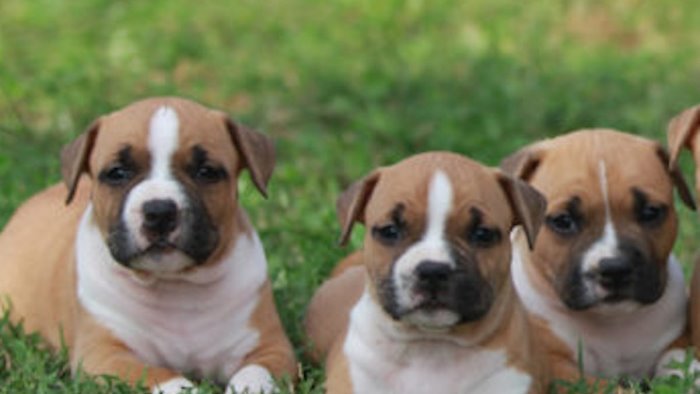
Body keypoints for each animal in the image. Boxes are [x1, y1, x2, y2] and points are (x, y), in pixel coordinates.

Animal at [0, 97, 296, 392]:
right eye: (117, 173)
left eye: (206, 172)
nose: (159, 211)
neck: (176, 285)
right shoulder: (104, 356)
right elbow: (164, 378)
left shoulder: (272, 348)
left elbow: (254, 375)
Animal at [504, 130, 696, 384]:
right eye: (563, 221)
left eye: (650, 212)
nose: (615, 269)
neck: (610, 323)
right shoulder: (556, 367)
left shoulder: (678, 341)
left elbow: (683, 364)